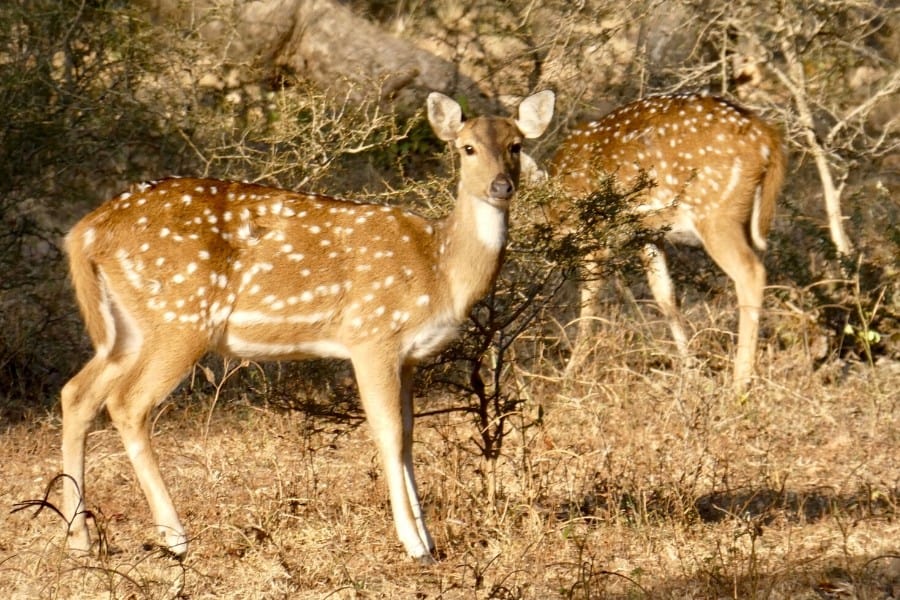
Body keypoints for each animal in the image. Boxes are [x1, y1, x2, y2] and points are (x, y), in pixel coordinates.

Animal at [60, 90, 555, 564]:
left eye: (516, 145)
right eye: (467, 148)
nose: (502, 185)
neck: (440, 270)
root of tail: (85, 232)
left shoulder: (410, 356)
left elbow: (410, 436)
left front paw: (429, 540)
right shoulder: (372, 333)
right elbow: (388, 432)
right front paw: (415, 546)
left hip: (127, 327)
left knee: (77, 392)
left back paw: (79, 541)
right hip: (180, 316)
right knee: (127, 403)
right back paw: (175, 538)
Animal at [549, 93, 785, 393]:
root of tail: (768, 140)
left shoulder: (592, 233)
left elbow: (589, 298)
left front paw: (568, 375)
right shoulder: (648, 235)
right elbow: (665, 295)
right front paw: (692, 372)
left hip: (716, 212)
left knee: (751, 273)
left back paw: (739, 385)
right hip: (741, 218)